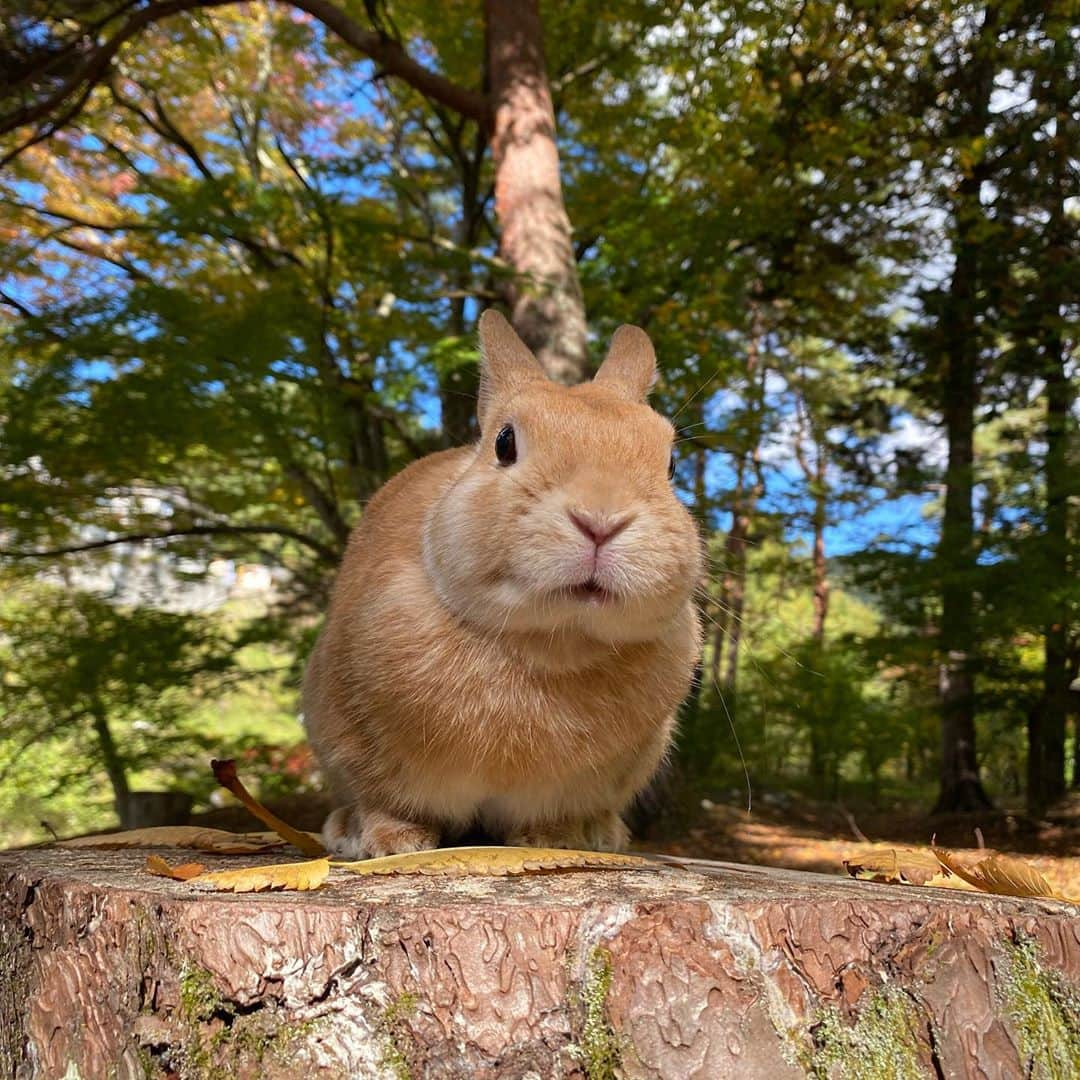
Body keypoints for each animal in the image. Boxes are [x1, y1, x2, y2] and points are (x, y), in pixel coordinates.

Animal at [300, 308, 704, 855]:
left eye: (671, 465)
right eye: (505, 442)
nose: (601, 520)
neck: (553, 643)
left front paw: (550, 840)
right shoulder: (359, 745)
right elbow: (384, 799)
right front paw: (392, 842)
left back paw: (602, 834)